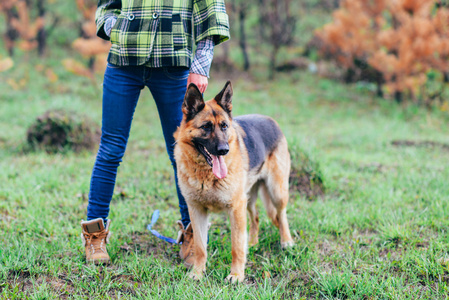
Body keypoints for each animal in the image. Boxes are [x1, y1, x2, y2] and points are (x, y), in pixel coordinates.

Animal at [174, 81, 294, 282]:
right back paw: (252, 243)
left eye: (224, 126)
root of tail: (270, 120)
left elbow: (236, 246)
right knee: (255, 217)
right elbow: (200, 247)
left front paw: (236, 275)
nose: (224, 150)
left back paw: (286, 241)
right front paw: (198, 272)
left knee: (281, 215)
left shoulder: (235, 208)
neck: (207, 175)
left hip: (276, 191)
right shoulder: (197, 210)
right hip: (248, 199)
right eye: (206, 127)